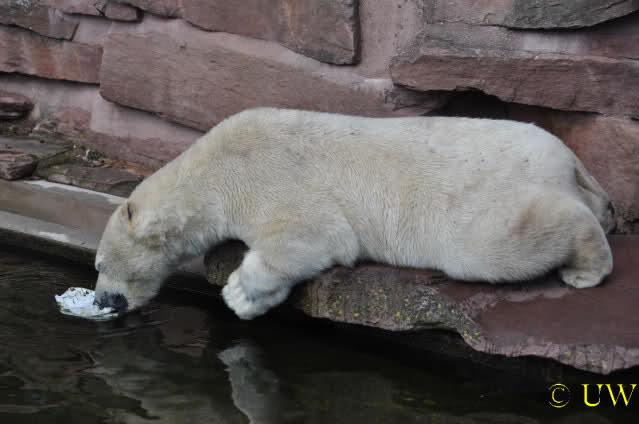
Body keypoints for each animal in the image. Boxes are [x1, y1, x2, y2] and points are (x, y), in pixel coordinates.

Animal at [94, 108, 615, 320]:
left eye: (99, 264)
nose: (103, 300)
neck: (211, 169)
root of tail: (567, 157)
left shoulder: (266, 174)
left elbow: (314, 235)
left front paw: (239, 290)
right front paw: (252, 302)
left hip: (483, 203)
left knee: (501, 244)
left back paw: (586, 268)